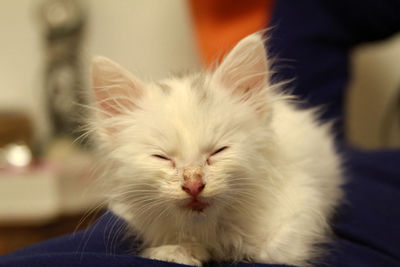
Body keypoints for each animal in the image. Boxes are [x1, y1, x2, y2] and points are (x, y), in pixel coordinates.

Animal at [89, 32, 342, 266]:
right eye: (161, 157)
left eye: (218, 151)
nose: (193, 185)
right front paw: (178, 251)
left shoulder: (301, 208)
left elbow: (271, 250)